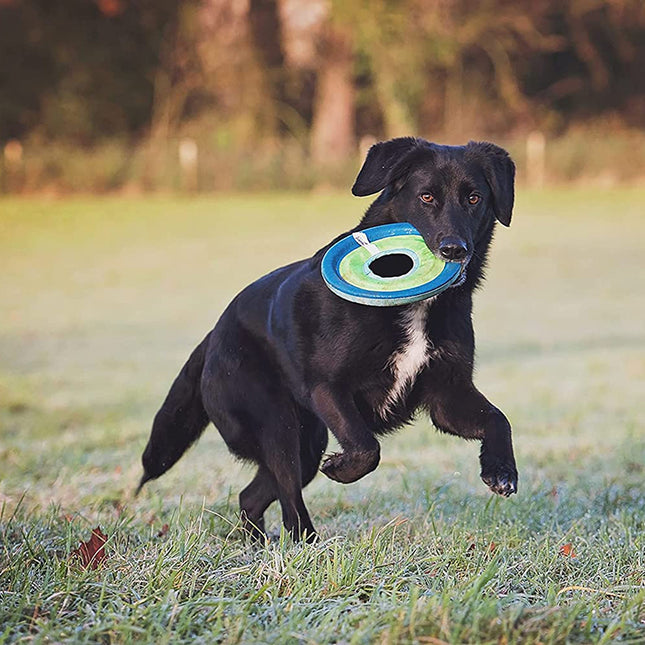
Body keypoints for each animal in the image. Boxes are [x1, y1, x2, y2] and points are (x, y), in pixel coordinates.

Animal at [137, 138, 520, 540]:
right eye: (426, 197)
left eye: (474, 198)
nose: (454, 250)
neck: (416, 306)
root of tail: (214, 335)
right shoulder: (328, 388)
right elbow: (366, 447)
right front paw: (341, 468)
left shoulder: (448, 395)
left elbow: (499, 419)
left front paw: (501, 470)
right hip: (278, 426)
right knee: (289, 498)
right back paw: (307, 543)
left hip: (305, 444)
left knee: (251, 497)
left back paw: (262, 544)